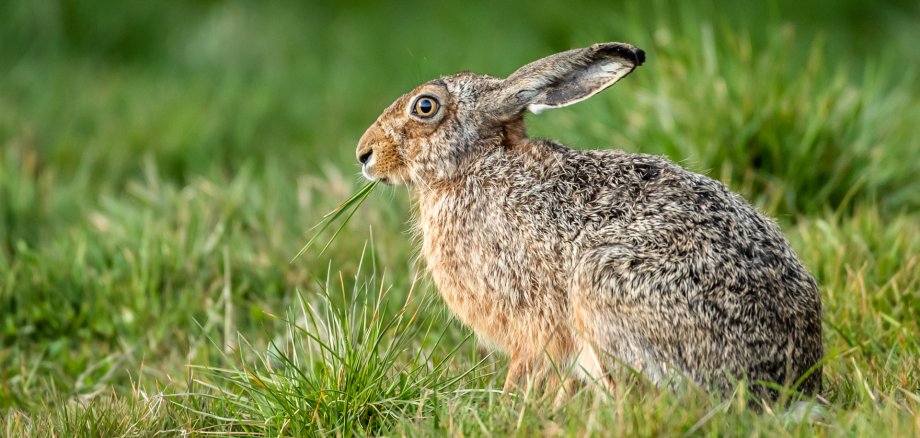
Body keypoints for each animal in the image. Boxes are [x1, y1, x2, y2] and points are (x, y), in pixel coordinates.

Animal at [354, 42, 823, 400]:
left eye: (425, 106)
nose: (364, 154)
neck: (474, 164)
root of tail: (791, 382)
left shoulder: (531, 317)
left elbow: (526, 364)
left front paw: (508, 404)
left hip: (605, 286)